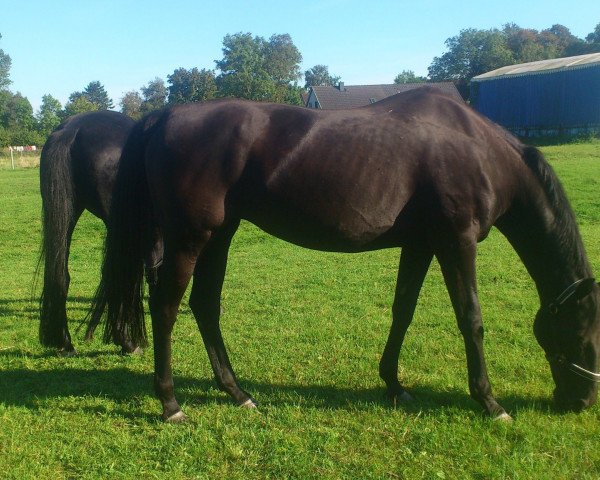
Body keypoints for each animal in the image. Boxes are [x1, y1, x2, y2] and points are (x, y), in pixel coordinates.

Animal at [38, 110, 139, 354]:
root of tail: (73, 129)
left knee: (60, 276)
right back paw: (126, 341)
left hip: (68, 211)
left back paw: (64, 342)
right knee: (118, 274)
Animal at [90, 88, 600, 422]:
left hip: (221, 234)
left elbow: (403, 310)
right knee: (166, 308)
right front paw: (490, 403)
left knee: (205, 306)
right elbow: (470, 319)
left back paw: (237, 393)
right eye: (584, 334)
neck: (477, 149)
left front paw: (394, 384)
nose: (580, 402)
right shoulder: (457, 241)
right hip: (191, 238)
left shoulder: (421, 244)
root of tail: (165, 116)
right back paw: (170, 403)